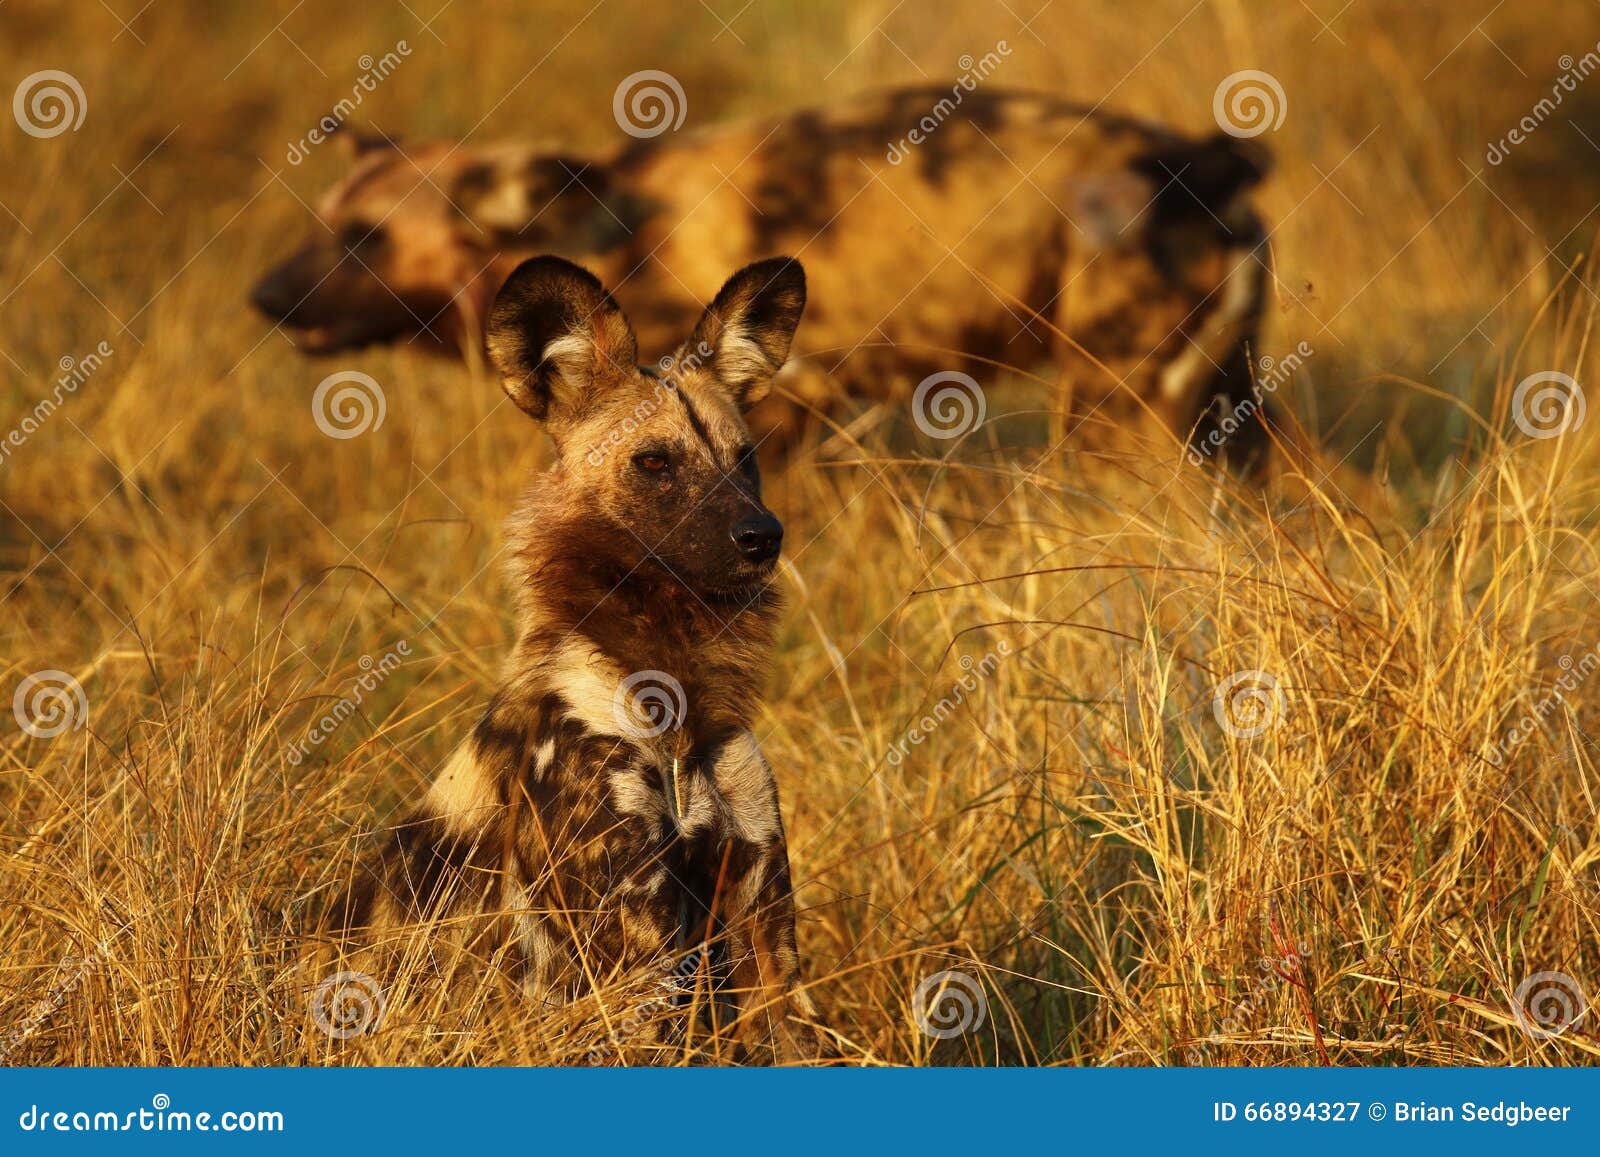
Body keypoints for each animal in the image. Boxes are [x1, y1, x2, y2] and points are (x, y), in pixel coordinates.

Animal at [249, 86, 1273, 460]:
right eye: (326, 225)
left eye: (367, 239)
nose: (259, 296)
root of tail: (1197, 158)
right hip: (1230, 408)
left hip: (1117, 411)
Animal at [304, 252, 819, 1056]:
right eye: (655, 462)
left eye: (746, 461)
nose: (763, 536)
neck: (674, 699)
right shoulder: (639, 956)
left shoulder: (766, 927)